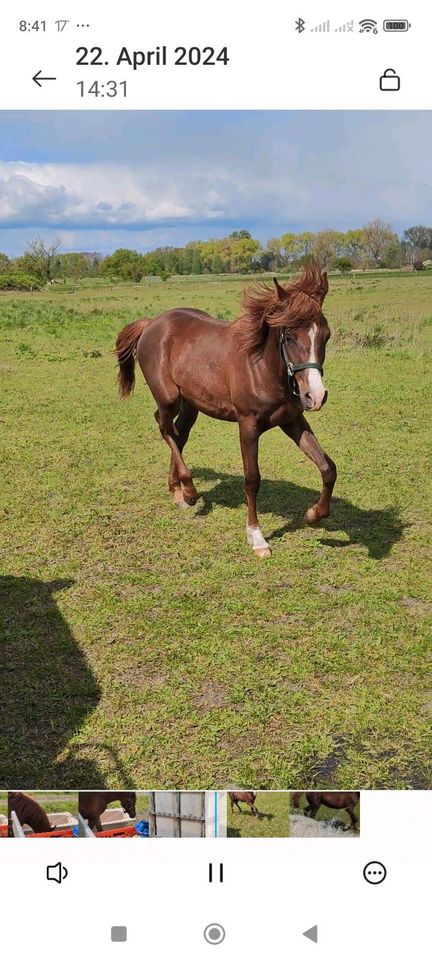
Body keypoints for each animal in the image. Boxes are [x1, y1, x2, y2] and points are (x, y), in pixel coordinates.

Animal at [116, 266, 336, 560]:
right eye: (289, 337)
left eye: (326, 335)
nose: (316, 396)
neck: (261, 367)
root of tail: (151, 323)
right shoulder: (248, 425)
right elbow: (252, 479)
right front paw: (257, 538)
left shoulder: (293, 421)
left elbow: (328, 467)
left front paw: (313, 514)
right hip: (168, 398)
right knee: (164, 427)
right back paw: (189, 491)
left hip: (191, 404)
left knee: (178, 434)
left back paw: (178, 491)